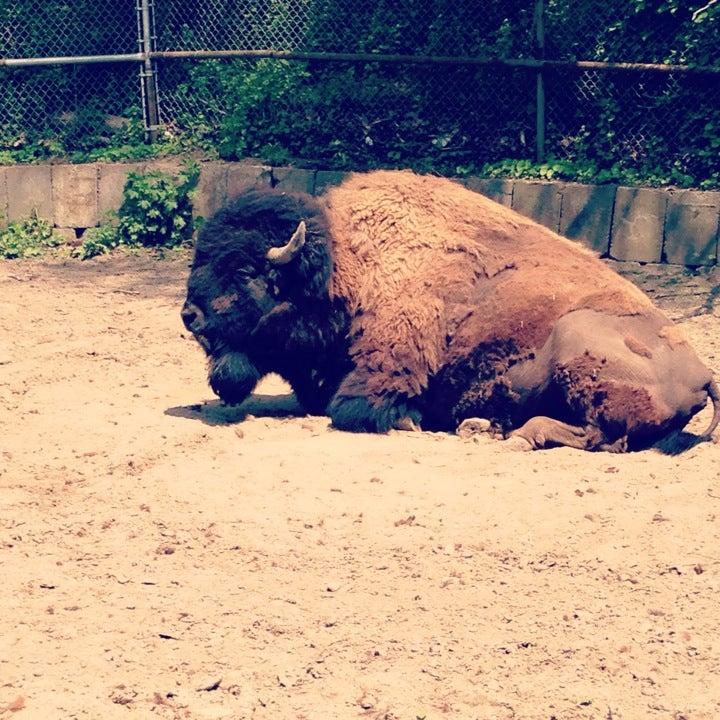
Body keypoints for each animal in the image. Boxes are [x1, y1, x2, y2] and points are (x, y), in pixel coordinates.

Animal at [183, 170, 716, 450]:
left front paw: (408, 421)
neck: (348, 268)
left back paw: (510, 433)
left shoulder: (389, 367)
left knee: (597, 435)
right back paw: (483, 425)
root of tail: (702, 373)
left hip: (577, 343)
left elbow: (351, 409)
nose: (190, 315)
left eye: (247, 270)